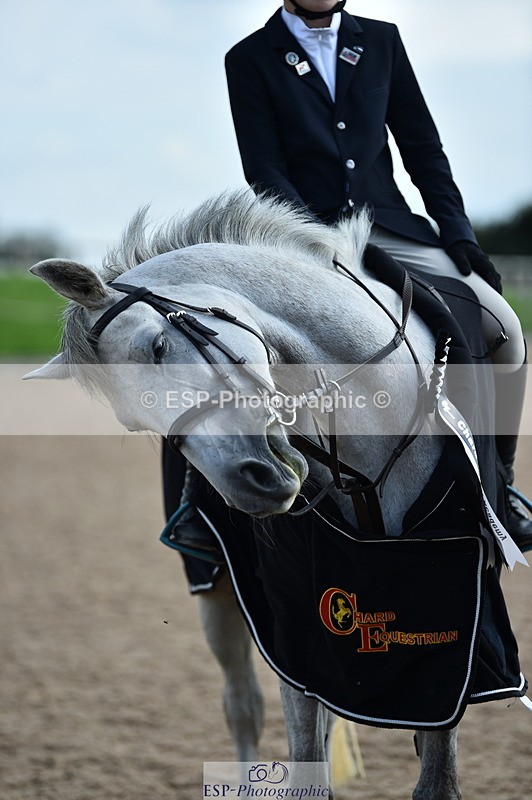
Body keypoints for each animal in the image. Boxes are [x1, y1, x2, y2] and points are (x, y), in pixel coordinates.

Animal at [24, 190, 520, 800]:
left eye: (161, 345)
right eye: (131, 421)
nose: (251, 484)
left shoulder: (455, 594)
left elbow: (435, 764)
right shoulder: (297, 611)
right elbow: (305, 751)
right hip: (215, 586)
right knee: (243, 706)